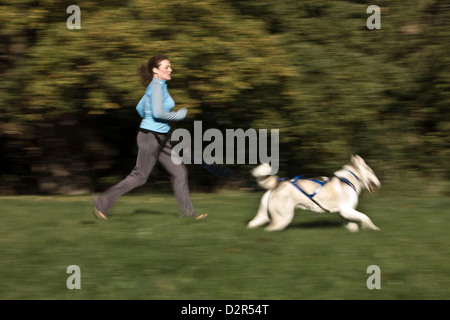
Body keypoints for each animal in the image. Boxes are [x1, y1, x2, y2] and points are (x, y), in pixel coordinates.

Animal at [248, 154, 382, 231]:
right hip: (283, 218)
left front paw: (355, 230)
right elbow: (365, 216)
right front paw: (374, 228)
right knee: (270, 229)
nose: (379, 183)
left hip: (263, 216)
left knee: (252, 224)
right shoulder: (346, 209)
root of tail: (277, 183)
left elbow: (353, 224)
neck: (349, 181)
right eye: (371, 171)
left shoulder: (344, 212)